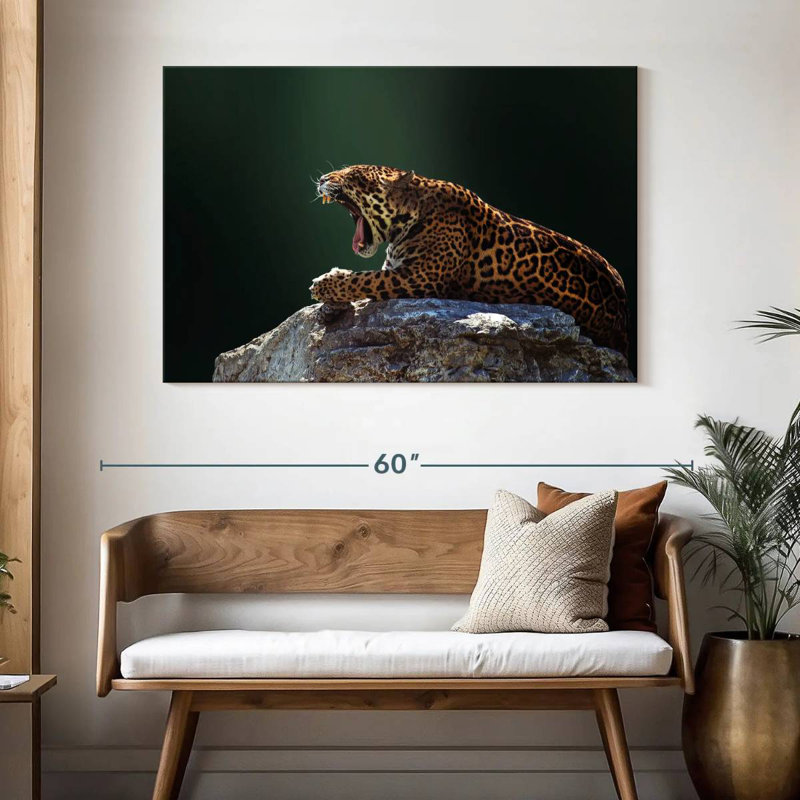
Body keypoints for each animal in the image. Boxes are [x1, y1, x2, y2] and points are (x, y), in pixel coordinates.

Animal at [311, 164, 629, 356]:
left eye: (352, 176)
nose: (323, 179)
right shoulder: (398, 269)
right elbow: (364, 281)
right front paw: (330, 303)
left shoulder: (418, 278)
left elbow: (365, 280)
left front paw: (325, 284)